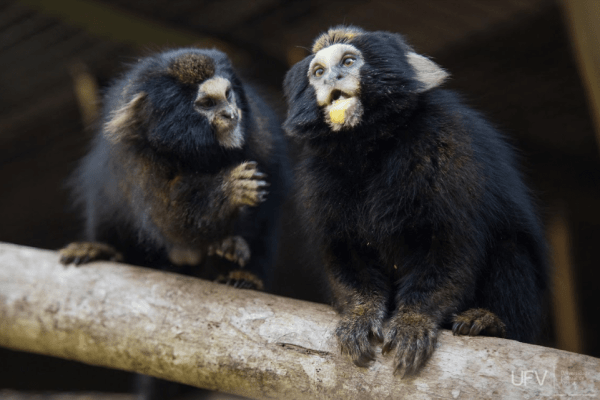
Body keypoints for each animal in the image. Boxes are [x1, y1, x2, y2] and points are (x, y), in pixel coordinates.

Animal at [59, 47, 290, 293]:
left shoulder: (262, 133)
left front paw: (237, 254)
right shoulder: (137, 157)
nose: (231, 114)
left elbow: (267, 206)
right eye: (207, 103)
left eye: (228, 95)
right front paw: (229, 189)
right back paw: (105, 247)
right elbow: (169, 222)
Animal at [283, 26, 548, 377]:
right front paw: (361, 314)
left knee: (510, 248)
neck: (371, 146)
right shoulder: (317, 177)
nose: (332, 79)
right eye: (318, 72)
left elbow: (451, 244)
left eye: (349, 62)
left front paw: (414, 319)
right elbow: (343, 252)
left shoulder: (446, 143)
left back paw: (493, 323)